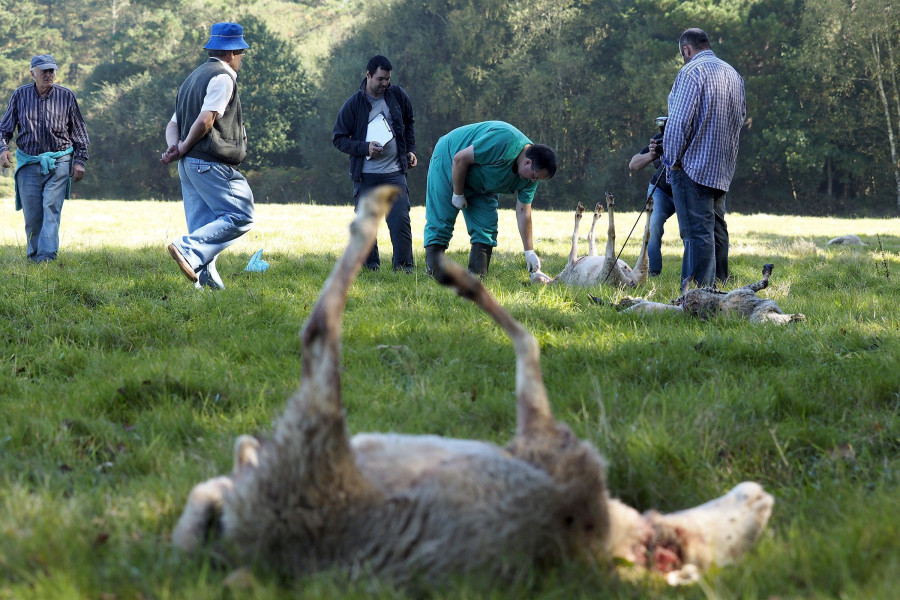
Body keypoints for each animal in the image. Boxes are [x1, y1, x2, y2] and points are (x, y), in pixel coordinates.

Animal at [174, 186, 772, 584]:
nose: (761, 495)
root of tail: (248, 538)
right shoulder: (546, 439)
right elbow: (529, 336)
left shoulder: (547, 439)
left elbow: (528, 340)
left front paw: (464, 277)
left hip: (312, 432)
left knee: (315, 333)